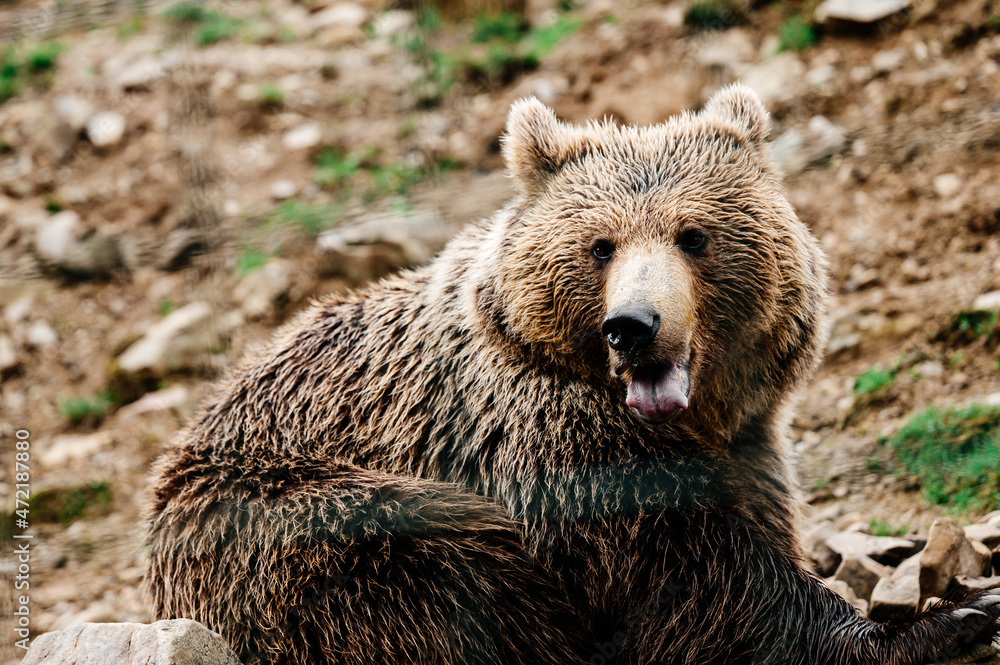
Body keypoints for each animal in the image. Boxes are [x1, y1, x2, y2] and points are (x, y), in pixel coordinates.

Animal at [145, 84, 1000, 665]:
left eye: (694, 235)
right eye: (600, 244)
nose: (634, 326)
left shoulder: (746, 445)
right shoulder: (549, 448)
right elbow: (699, 579)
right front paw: (941, 620)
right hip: (278, 515)